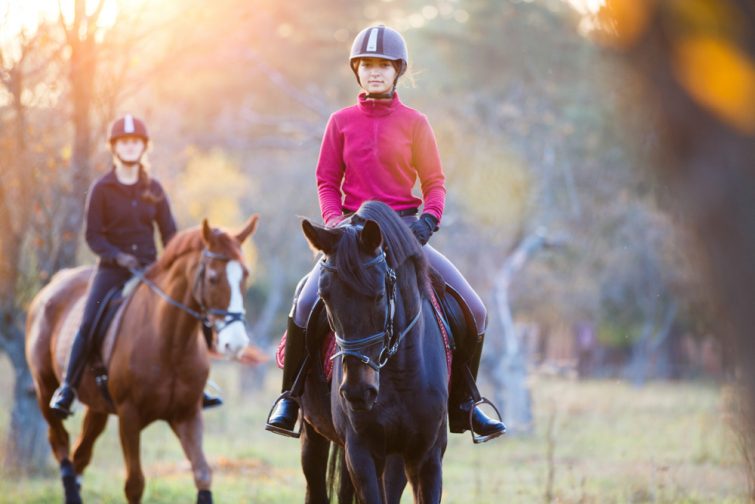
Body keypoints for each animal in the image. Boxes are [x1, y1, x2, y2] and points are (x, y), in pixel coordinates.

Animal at [25, 215, 260, 502]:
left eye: (245, 275)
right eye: (213, 278)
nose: (235, 343)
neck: (169, 342)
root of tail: (53, 285)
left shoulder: (187, 414)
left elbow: (203, 473)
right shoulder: (129, 416)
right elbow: (134, 484)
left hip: (97, 406)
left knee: (81, 454)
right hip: (45, 389)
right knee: (59, 442)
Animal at [296, 201, 448, 504]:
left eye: (379, 295)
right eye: (325, 298)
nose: (357, 392)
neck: (402, 372)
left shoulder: (427, 456)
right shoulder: (361, 452)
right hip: (314, 435)